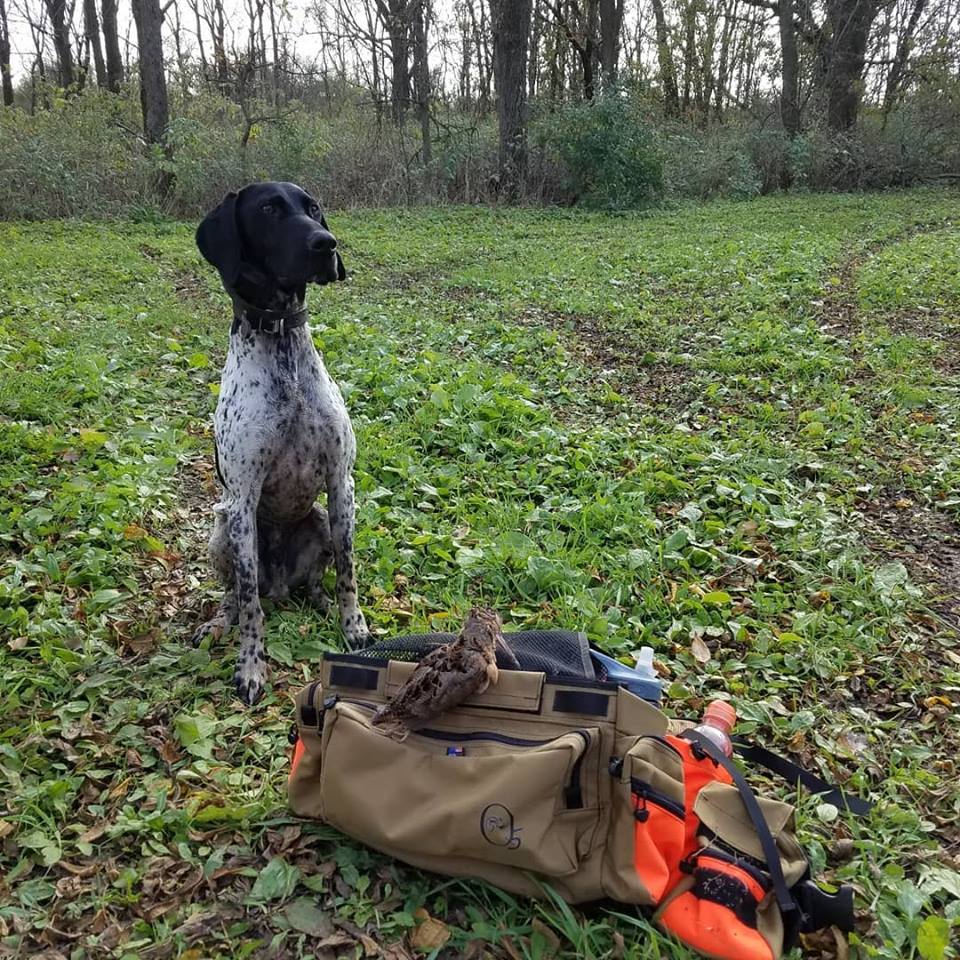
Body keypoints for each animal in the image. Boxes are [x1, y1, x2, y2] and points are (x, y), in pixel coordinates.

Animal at [191, 182, 368, 704]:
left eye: (313, 208)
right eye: (268, 209)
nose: (326, 244)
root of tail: (281, 586)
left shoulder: (341, 483)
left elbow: (349, 569)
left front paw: (354, 627)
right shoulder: (243, 500)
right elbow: (249, 603)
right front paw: (251, 667)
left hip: (322, 520)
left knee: (314, 580)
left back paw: (320, 601)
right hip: (221, 531)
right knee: (238, 595)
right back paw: (219, 622)